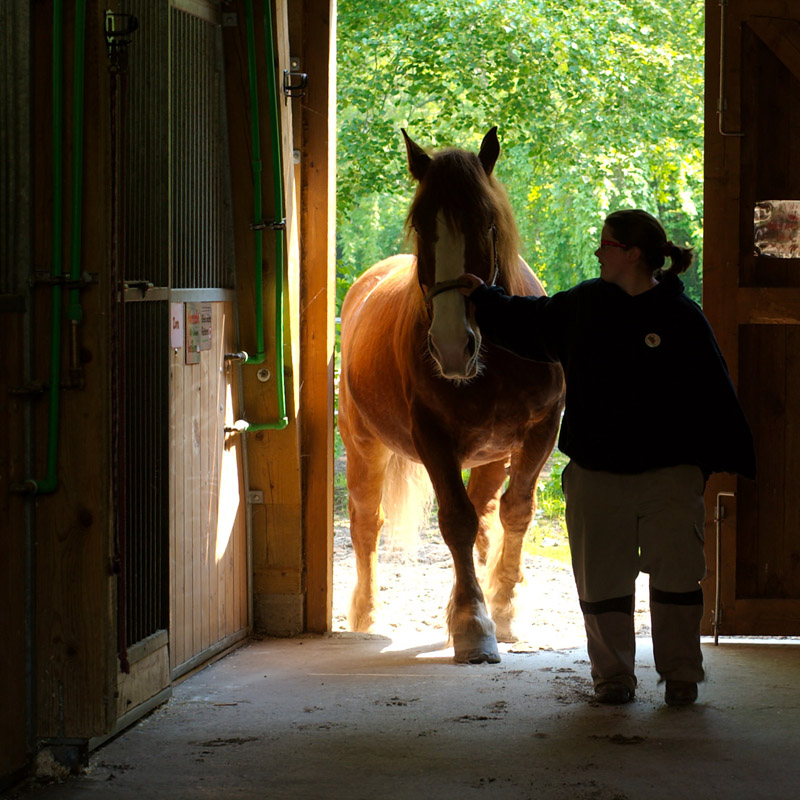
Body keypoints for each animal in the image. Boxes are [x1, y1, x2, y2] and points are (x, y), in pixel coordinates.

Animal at [338, 126, 564, 664]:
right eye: (421, 225)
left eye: (487, 224)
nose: (450, 345)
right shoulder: (432, 438)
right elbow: (457, 521)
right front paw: (471, 623)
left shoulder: (541, 430)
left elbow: (515, 512)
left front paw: (503, 608)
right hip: (363, 446)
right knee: (366, 524)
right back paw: (367, 617)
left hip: (491, 454)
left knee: (487, 515)